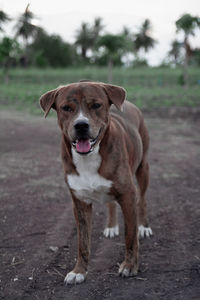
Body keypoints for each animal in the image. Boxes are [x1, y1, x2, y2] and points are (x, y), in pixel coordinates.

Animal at [39, 81, 152, 284]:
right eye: (66, 108)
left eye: (96, 105)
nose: (81, 125)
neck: (89, 157)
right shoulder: (80, 202)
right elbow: (82, 242)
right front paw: (79, 271)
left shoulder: (128, 195)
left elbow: (130, 236)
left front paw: (130, 266)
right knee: (110, 203)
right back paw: (111, 226)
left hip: (143, 168)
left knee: (143, 199)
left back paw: (144, 226)